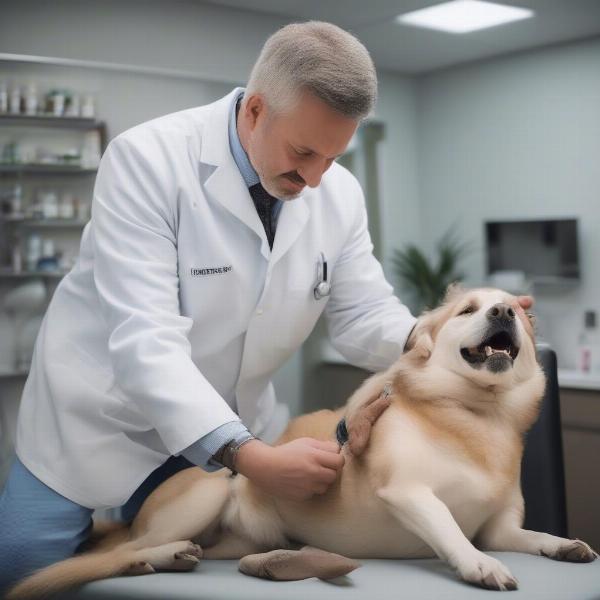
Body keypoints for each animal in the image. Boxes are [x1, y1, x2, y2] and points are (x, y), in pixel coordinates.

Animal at [7, 284, 596, 596]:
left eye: (515, 309)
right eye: (468, 310)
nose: (504, 311)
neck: (476, 417)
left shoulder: (499, 526)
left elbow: (530, 536)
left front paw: (562, 545)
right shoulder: (409, 494)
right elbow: (451, 530)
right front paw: (479, 566)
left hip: (239, 541)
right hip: (211, 490)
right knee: (123, 550)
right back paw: (150, 558)